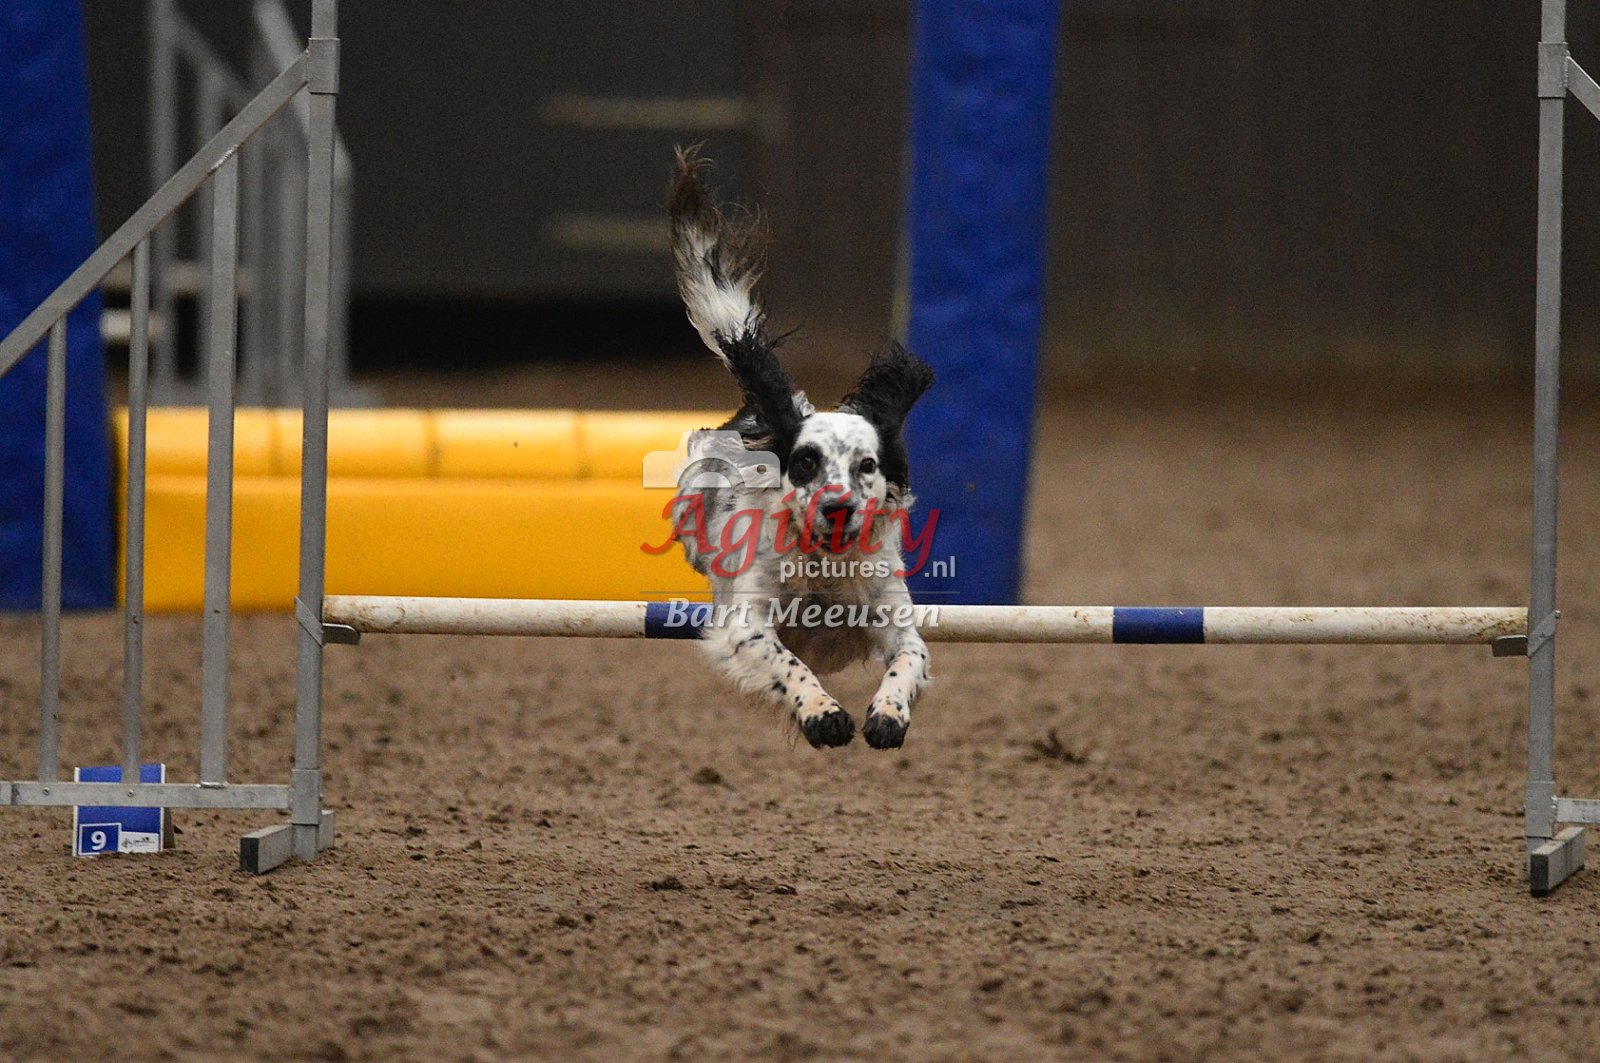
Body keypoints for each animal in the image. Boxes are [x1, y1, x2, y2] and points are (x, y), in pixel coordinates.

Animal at [666, 147, 936, 750]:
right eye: (806, 462)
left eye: (867, 465)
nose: (837, 507)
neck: (823, 564)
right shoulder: (747, 621)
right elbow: (787, 662)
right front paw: (822, 713)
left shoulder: (892, 614)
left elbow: (908, 659)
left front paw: (887, 714)